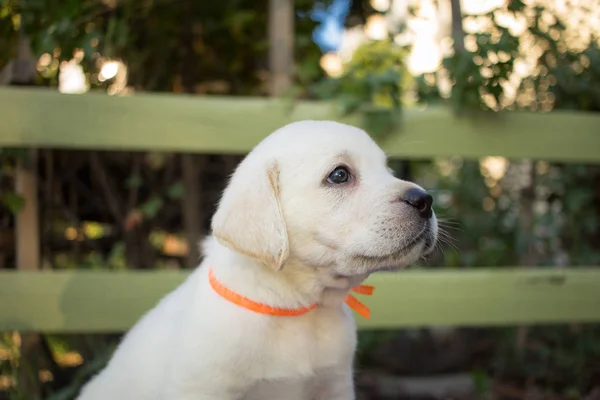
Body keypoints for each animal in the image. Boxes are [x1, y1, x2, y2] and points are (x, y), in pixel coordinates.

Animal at [77, 120, 438, 400]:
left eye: (388, 170)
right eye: (339, 175)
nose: (425, 200)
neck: (297, 306)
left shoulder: (333, 385)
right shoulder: (202, 389)